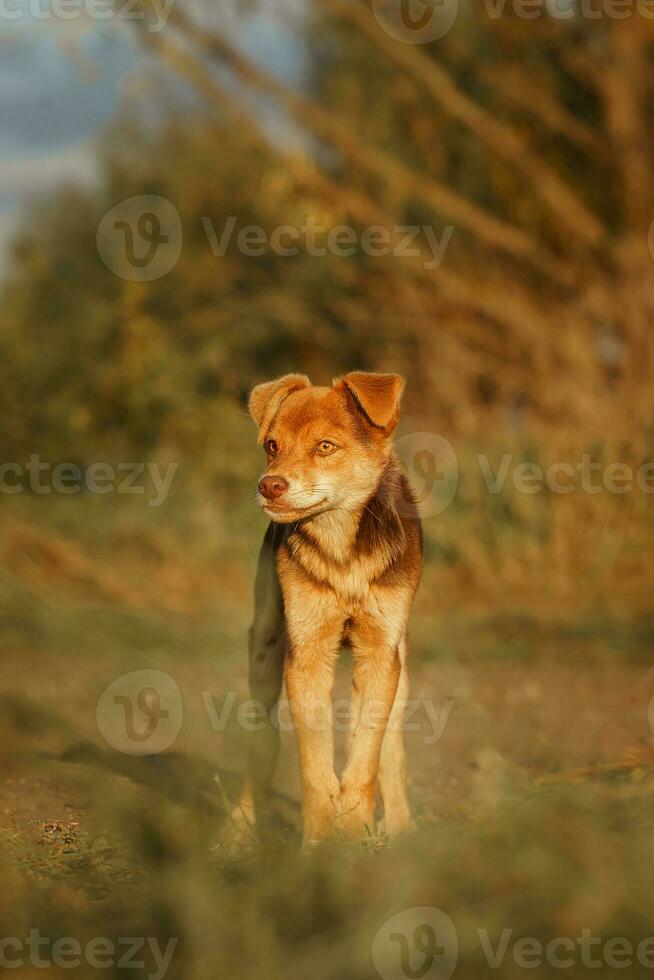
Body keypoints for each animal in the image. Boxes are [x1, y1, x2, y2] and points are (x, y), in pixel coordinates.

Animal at [243, 372, 422, 840]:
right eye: (272, 445)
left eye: (325, 446)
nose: (269, 485)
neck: (342, 548)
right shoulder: (307, 652)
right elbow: (314, 764)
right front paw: (321, 838)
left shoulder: (378, 653)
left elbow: (365, 760)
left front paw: (355, 829)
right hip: (264, 651)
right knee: (260, 745)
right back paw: (238, 831)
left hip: (401, 668)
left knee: (391, 744)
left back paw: (400, 827)